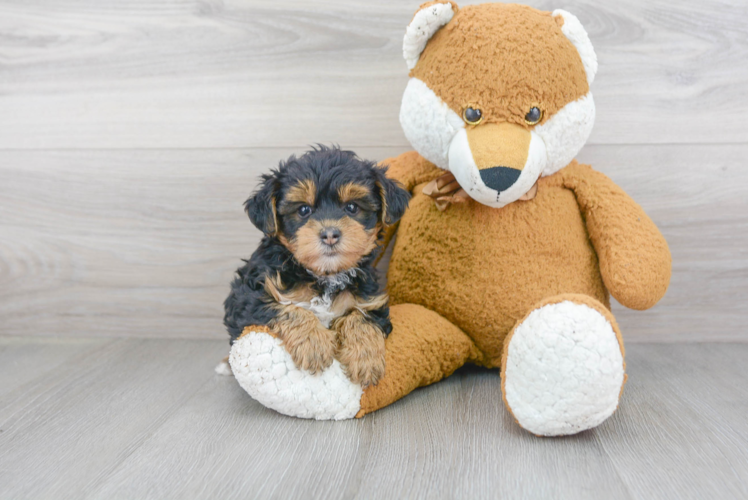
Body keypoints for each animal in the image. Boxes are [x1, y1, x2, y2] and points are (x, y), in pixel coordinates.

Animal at [224, 145, 410, 386]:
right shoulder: (247, 296)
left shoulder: (372, 301)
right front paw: (314, 344)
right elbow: (289, 308)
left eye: (352, 207)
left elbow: (361, 318)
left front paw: (365, 359)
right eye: (304, 210)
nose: (330, 234)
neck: (325, 275)